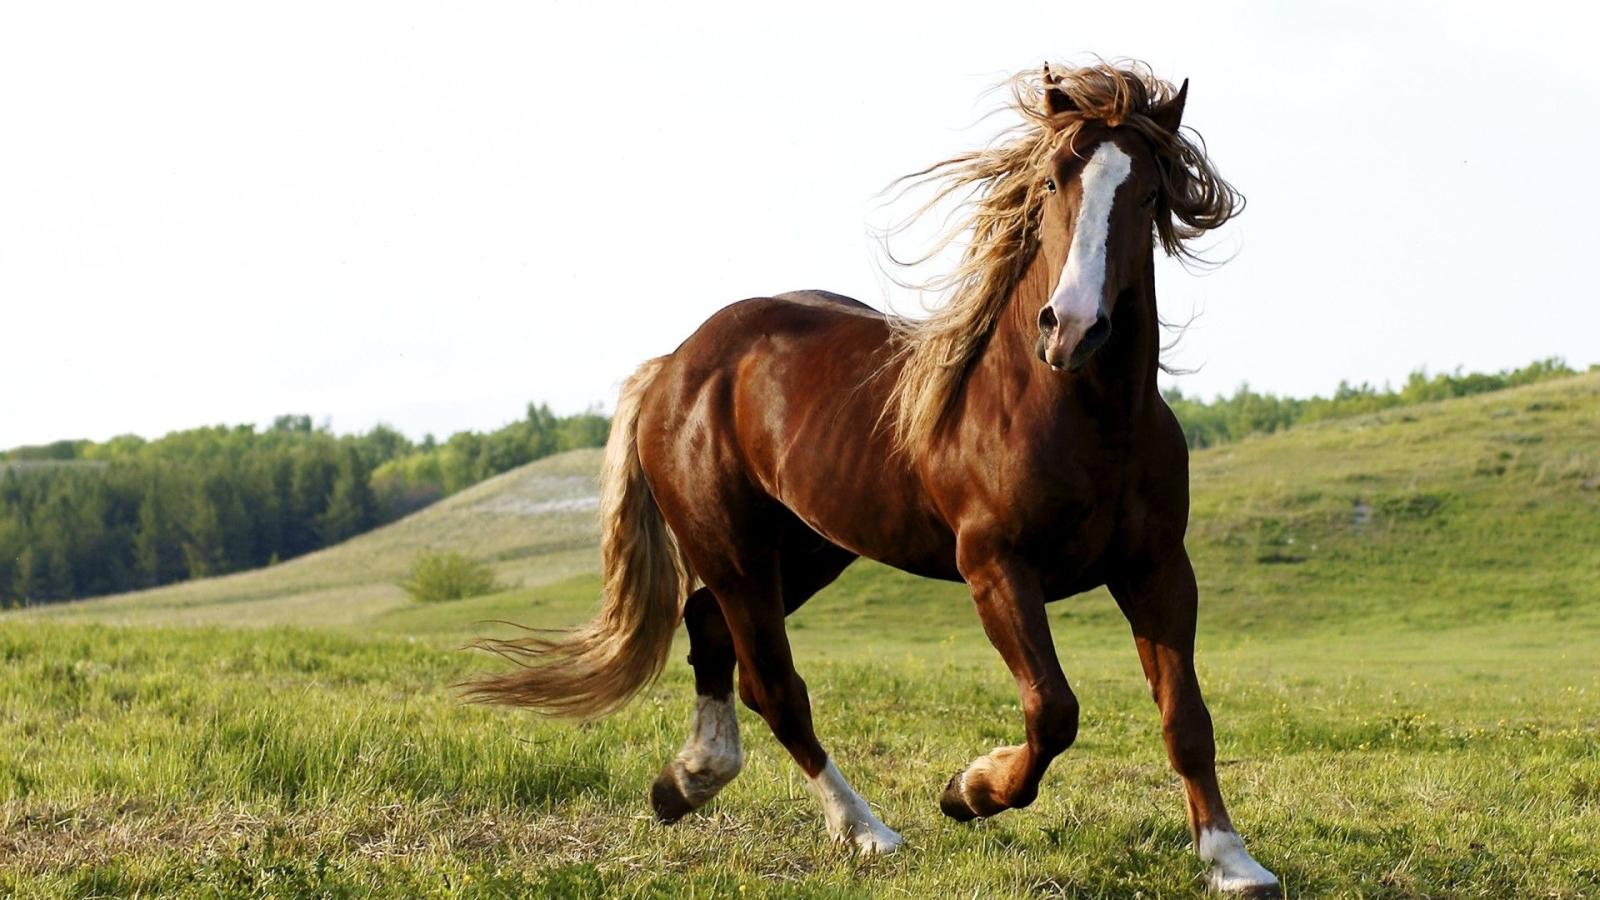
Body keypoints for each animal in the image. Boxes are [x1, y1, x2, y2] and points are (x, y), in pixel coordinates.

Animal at [468, 61, 1280, 895]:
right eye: (1055, 180)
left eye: (1148, 193)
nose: (1073, 328)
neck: (1080, 414)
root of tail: (676, 365)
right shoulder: (995, 566)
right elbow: (1053, 710)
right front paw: (968, 791)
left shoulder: (1157, 568)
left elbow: (1186, 719)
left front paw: (1231, 860)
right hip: (735, 552)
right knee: (775, 687)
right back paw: (865, 831)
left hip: (807, 550)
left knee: (710, 631)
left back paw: (687, 780)